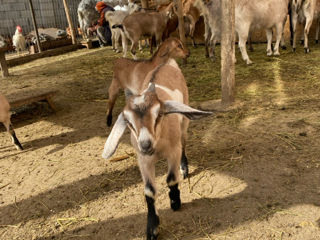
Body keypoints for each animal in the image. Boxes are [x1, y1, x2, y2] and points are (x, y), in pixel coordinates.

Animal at [103, 60, 212, 240]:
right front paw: (152, 228)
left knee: (184, 143)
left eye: (159, 114)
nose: (145, 144)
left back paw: (184, 168)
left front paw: (175, 202)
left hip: (184, 124)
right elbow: (149, 191)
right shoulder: (143, 160)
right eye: (128, 122)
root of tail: (167, 63)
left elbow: (171, 179)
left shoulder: (173, 152)